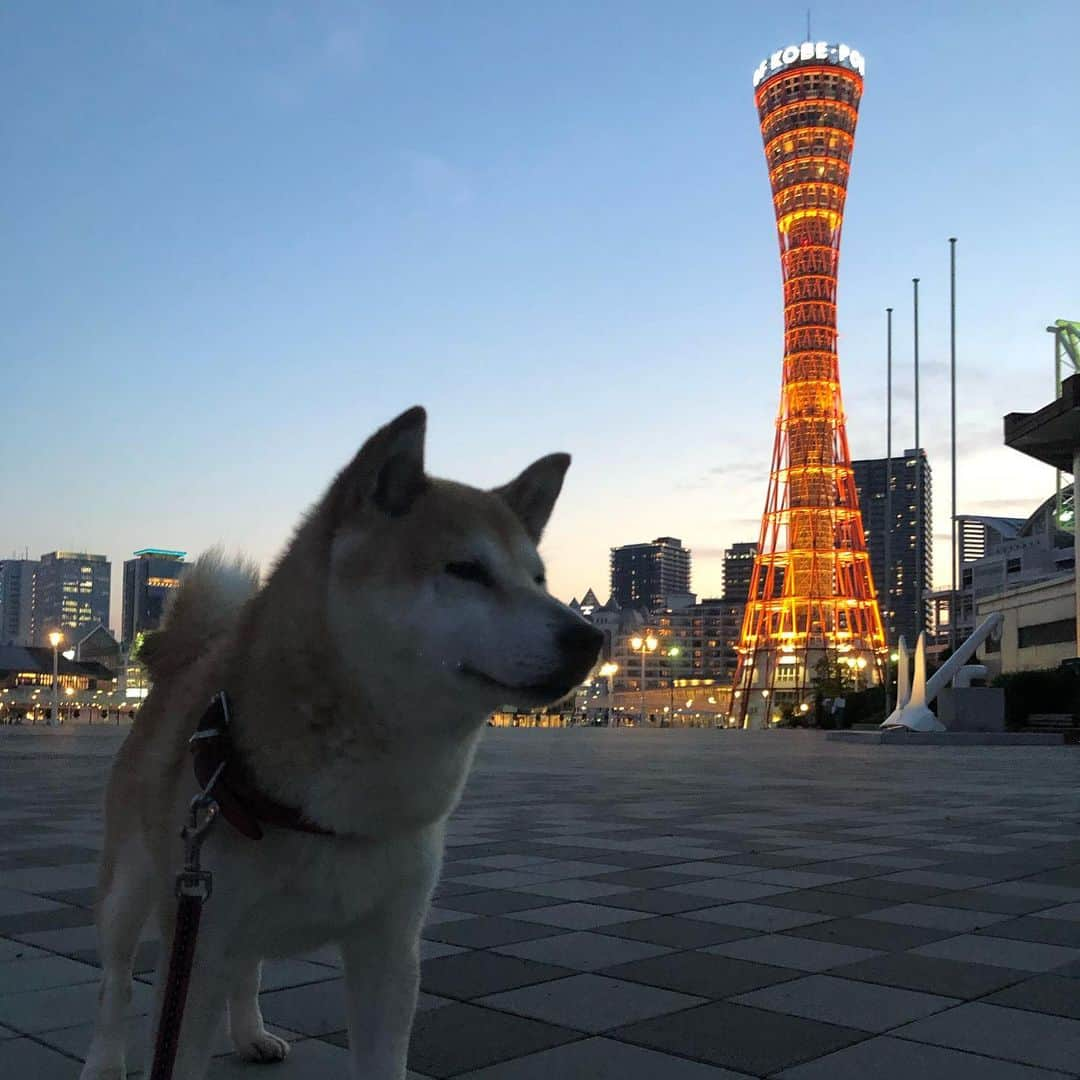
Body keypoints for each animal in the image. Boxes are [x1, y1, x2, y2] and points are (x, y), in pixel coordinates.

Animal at [82, 406, 609, 1080]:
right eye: (466, 570)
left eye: (539, 579)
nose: (591, 639)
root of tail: (182, 662)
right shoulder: (197, 946)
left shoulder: (390, 949)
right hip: (132, 885)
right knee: (115, 982)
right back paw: (103, 1062)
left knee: (245, 973)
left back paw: (251, 1035)